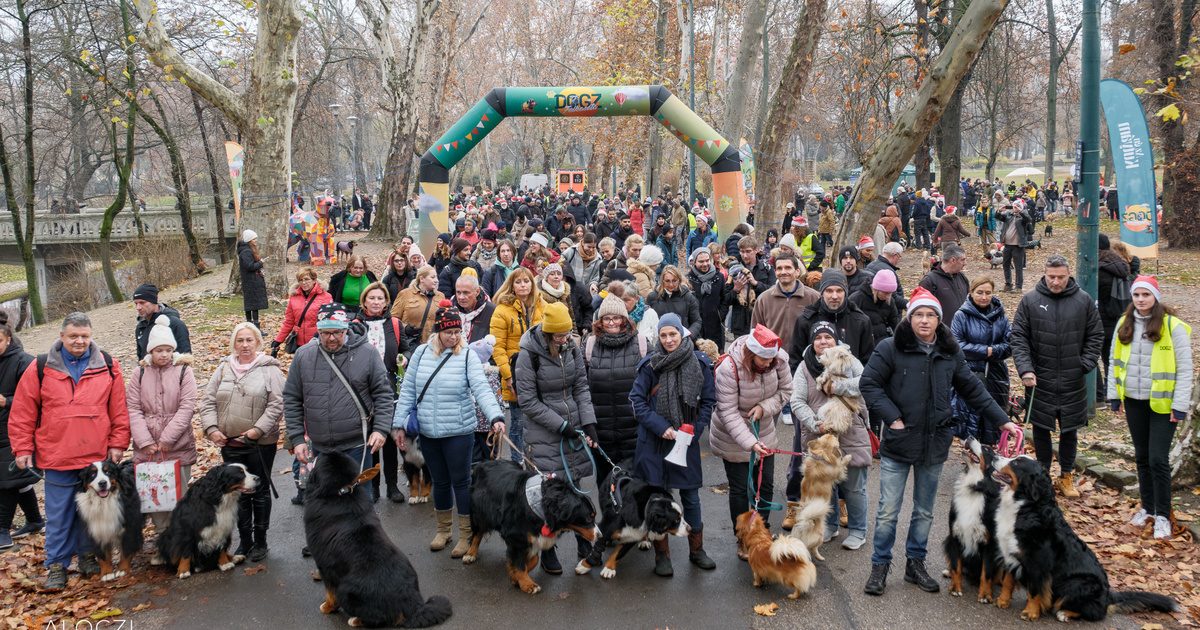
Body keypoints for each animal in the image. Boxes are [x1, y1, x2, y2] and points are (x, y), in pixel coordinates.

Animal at [302, 448, 451, 624]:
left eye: (321, 458)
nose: (322, 450)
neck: (341, 492)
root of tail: (411, 602)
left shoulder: (326, 564)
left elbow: (330, 592)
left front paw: (327, 607)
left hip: (346, 589)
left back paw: (355, 620)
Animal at [465, 458, 604, 592]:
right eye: (588, 517)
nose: (600, 536)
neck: (542, 505)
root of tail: (483, 462)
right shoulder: (516, 535)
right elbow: (519, 562)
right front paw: (527, 584)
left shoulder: (533, 536)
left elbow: (534, 559)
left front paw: (514, 575)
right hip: (479, 511)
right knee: (477, 532)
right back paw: (470, 554)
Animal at [940, 434, 1008, 602]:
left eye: (986, 449)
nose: (970, 436)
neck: (975, 489)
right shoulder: (955, 535)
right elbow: (956, 566)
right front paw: (955, 588)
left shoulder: (989, 543)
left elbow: (986, 572)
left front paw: (985, 594)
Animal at [988, 453, 1176, 619]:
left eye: (1016, 463)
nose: (994, 455)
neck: (1026, 507)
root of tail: (1108, 595)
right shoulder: (1011, 553)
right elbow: (1008, 582)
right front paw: (1002, 601)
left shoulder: (1037, 563)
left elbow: (1035, 591)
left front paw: (1031, 612)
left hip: (1077, 583)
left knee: (1095, 612)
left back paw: (1064, 613)